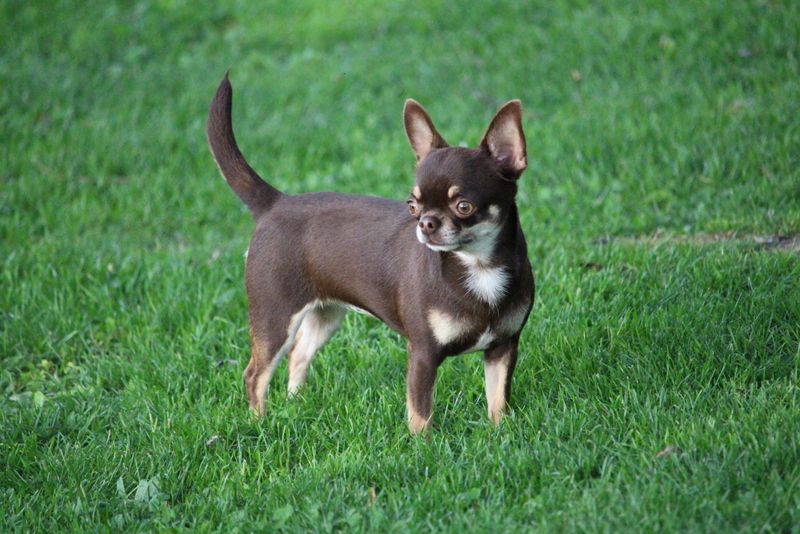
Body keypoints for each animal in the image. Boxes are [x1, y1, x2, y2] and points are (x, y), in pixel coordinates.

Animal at [206, 74, 536, 436]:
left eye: (464, 206)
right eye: (412, 206)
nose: (425, 223)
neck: (478, 266)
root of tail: (275, 203)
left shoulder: (503, 348)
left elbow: (497, 400)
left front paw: (501, 435)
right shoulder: (422, 354)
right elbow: (421, 413)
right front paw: (424, 446)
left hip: (325, 315)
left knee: (298, 355)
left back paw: (295, 406)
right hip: (275, 318)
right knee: (255, 374)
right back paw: (260, 423)